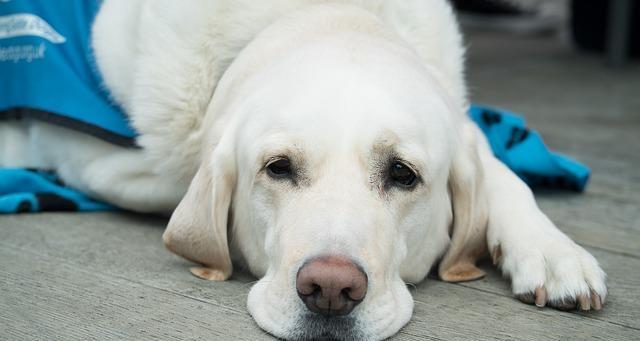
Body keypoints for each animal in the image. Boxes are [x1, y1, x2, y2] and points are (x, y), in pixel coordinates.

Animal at [2, 0, 608, 340]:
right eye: (278, 168)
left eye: (403, 174)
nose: (331, 289)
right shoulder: (96, 157)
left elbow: (502, 175)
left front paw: (553, 253)